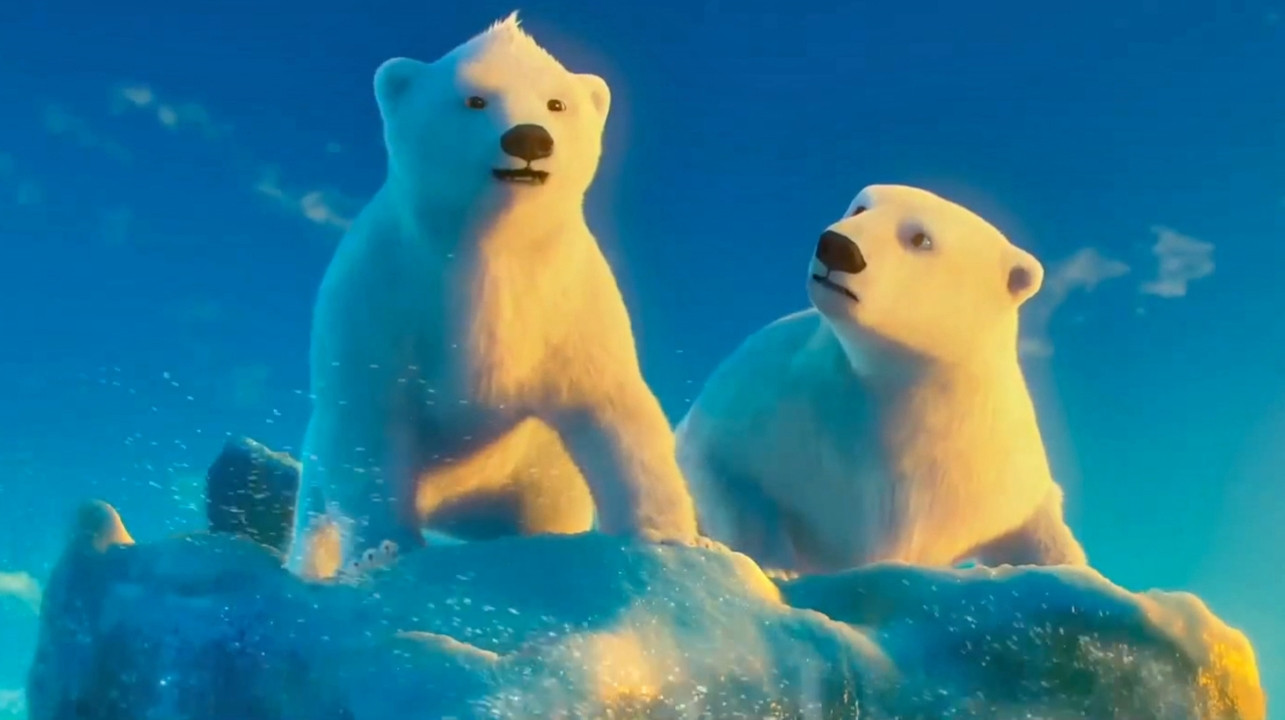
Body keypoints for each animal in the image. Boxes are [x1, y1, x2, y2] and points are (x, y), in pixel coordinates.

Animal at [286, 13, 698, 578]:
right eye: (474, 99)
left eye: (556, 103)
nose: (529, 139)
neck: (490, 252)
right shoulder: (380, 300)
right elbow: (368, 426)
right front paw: (382, 550)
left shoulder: (568, 308)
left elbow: (615, 409)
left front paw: (668, 539)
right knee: (315, 517)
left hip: (539, 483)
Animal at [674, 184, 1088, 575]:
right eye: (861, 207)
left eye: (920, 238)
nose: (838, 247)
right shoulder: (771, 403)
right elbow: (721, 464)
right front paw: (773, 564)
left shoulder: (989, 469)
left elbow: (1036, 530)